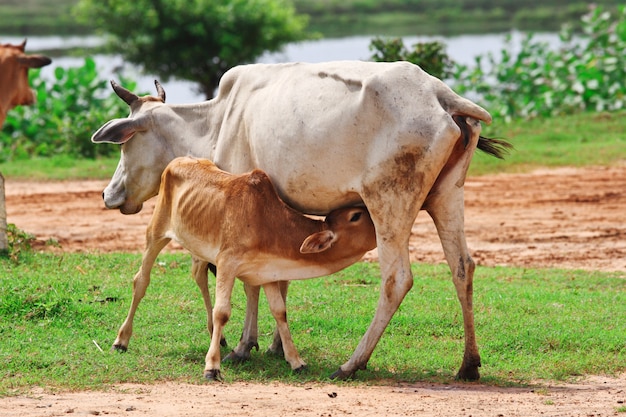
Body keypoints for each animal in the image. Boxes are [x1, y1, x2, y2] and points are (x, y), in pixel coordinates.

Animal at [94, 59, 512, 380]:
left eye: (126, 143)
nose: (108, 195)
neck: (216, 119)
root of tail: (441, 97)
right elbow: (279, 280)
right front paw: (276, 346)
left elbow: (251, 285)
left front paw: (244, 346)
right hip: (447, 197)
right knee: (462, 267)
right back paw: (469, 365)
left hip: (389, 203)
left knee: (397, 279)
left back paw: (352, 363)